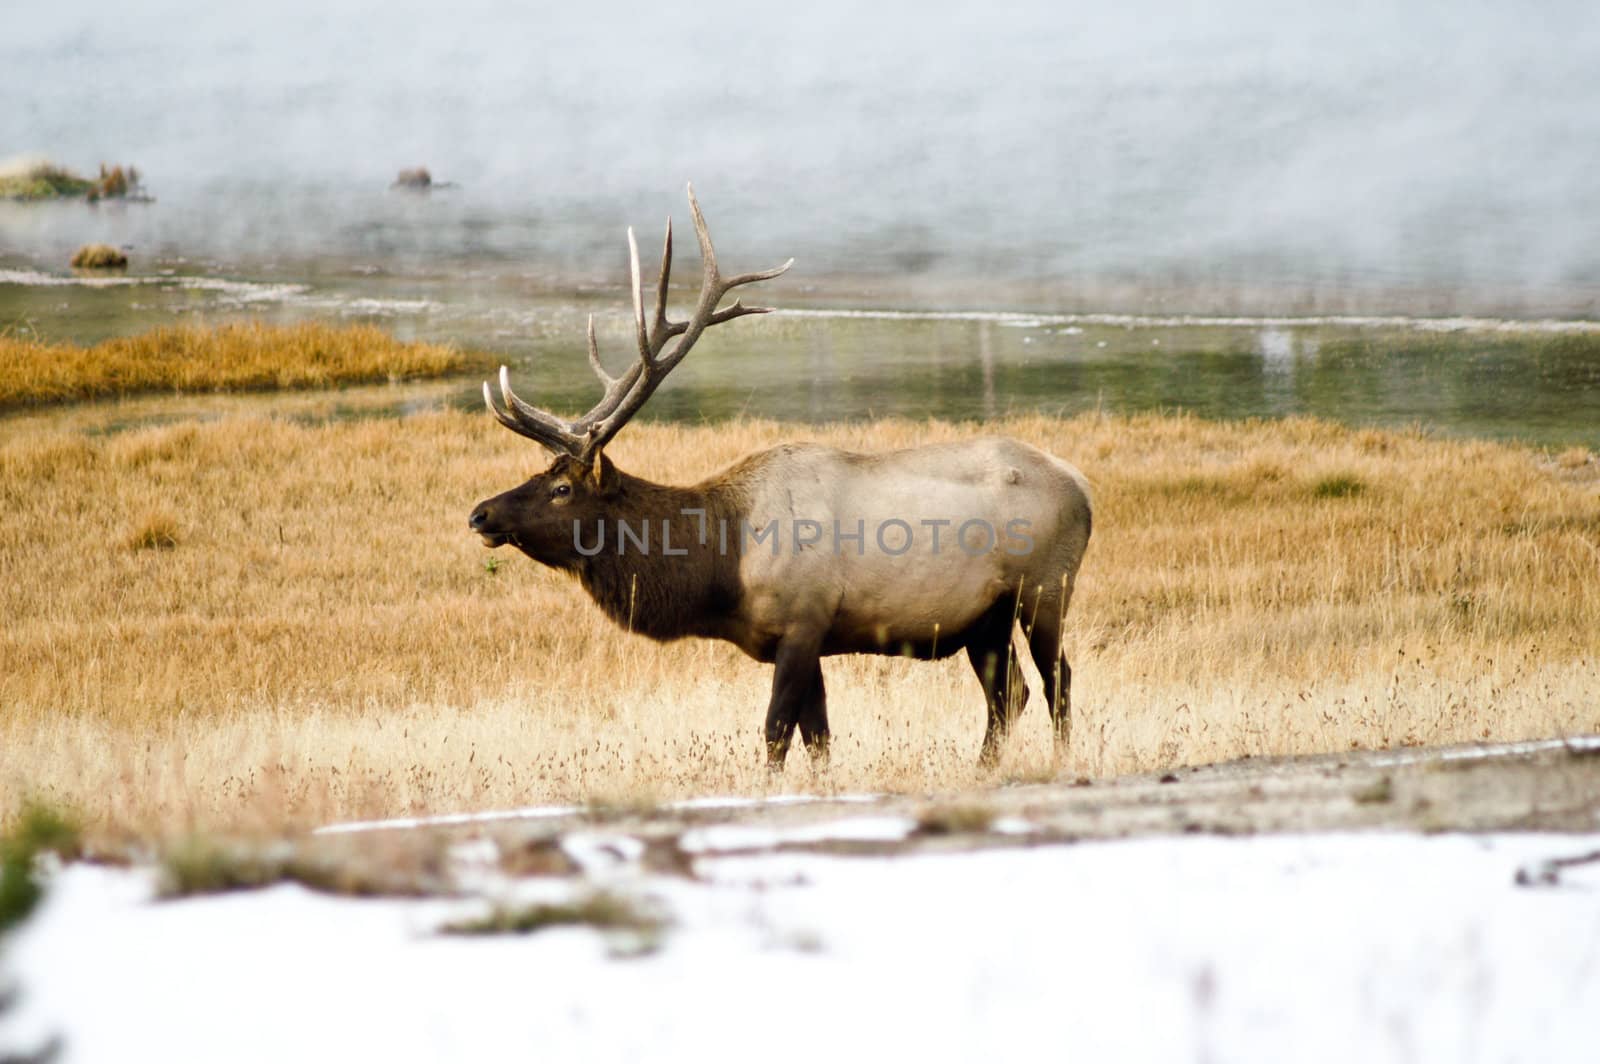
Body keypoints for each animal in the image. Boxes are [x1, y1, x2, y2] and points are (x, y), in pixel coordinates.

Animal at [464, 182, 1088, 764]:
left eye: (562, 488)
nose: (479, 514)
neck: (722, 565)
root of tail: (1083, 487)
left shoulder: (803, 621)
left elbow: (776, 733)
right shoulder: (800, 638)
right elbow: (819, 738)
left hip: (1045, 588)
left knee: (1056, 682)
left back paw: (1060, 760)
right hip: (987, 616)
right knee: (1009, 694)